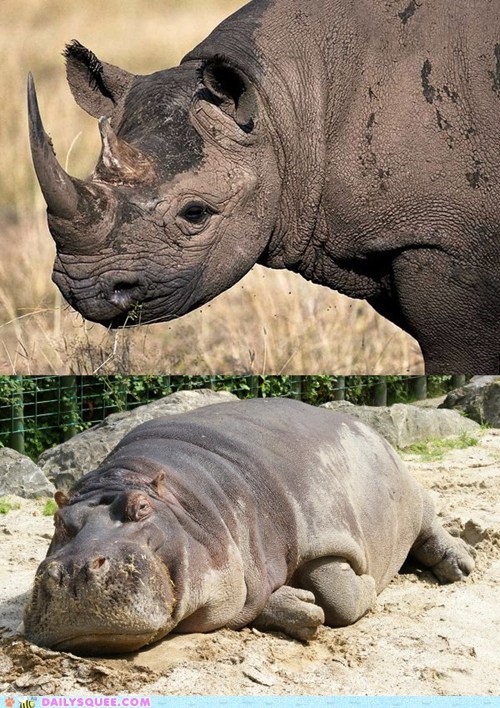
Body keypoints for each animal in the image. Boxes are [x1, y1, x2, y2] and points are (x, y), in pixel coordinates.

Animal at [24, 398, 475, 655]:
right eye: (58, 520)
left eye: (141, 507)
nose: (74, 570)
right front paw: (300, 604)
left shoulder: (324, 527)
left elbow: (341, 596)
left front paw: (365, 585)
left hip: (410, 493)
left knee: (429, 519)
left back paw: (461, 563)